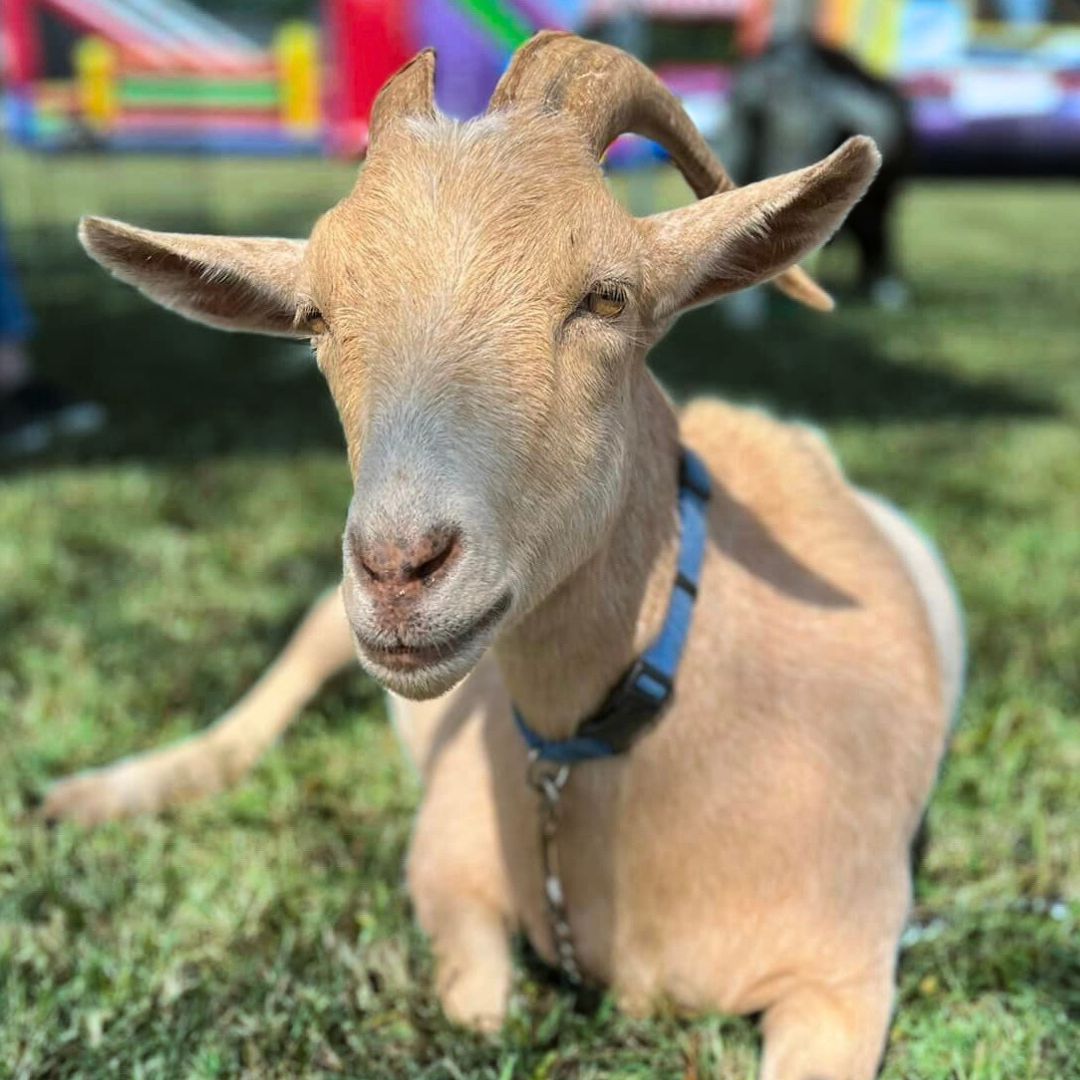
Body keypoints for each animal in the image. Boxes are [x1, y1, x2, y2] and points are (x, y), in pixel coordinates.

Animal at [46, 33, 963, 1079]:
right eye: (315, 316)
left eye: (608, 297)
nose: (400, 568)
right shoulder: (448, 864)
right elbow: (475, 1001)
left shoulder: (845, 973)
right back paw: (97, 794)